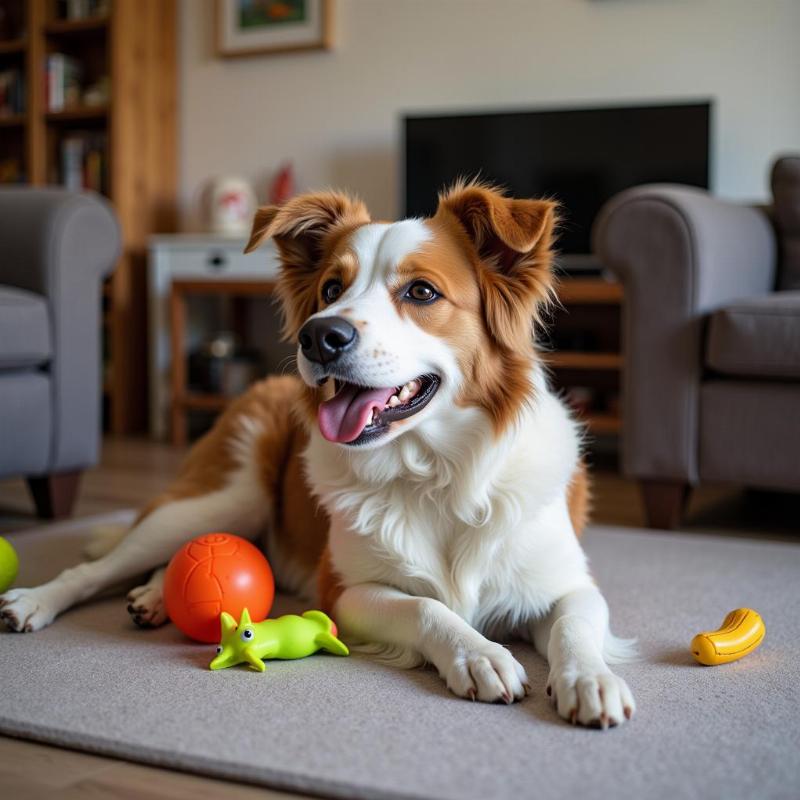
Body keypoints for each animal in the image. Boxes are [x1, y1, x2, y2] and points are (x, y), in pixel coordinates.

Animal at [1, 184, 636, 728]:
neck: (437, 474)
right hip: (226, 497)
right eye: (332, 289)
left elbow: (575, 623)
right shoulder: (345, 592)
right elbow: (428, 609)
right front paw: (479, 654)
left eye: (421, 292)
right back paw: (36, 601)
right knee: (102, 567)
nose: (319, 337)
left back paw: (153, 596)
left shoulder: (567, 583)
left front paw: (590, 680)